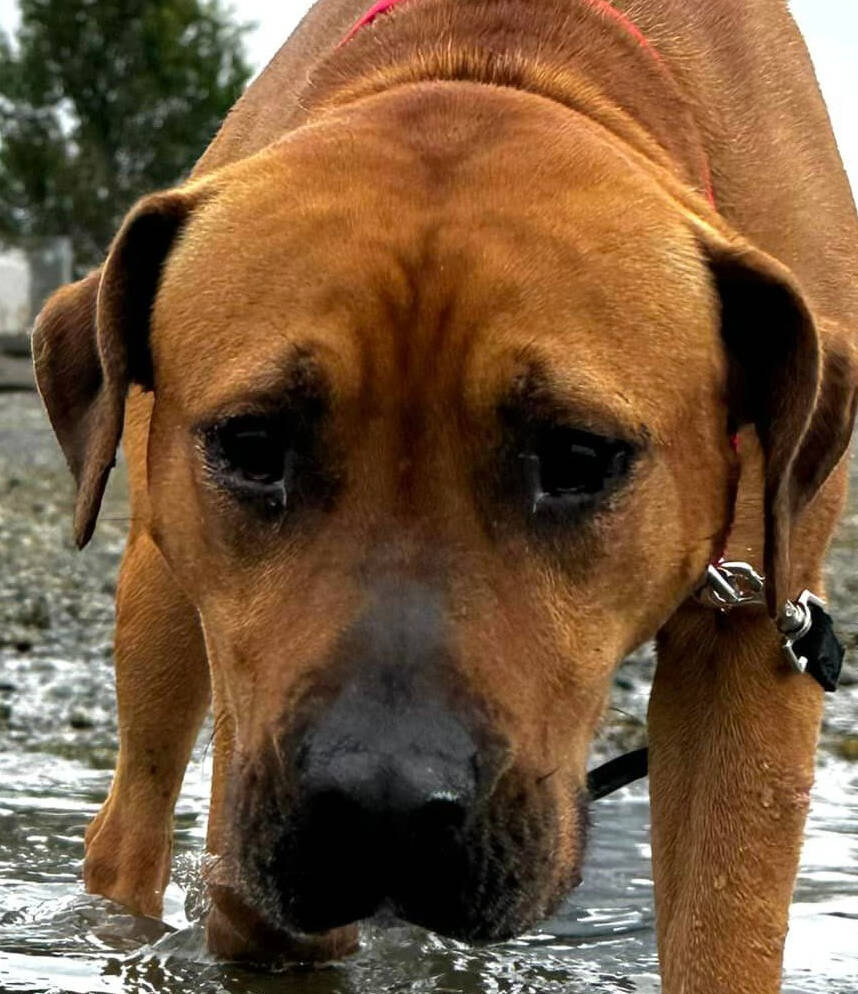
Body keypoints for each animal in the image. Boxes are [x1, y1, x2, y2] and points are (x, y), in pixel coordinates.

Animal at [30, 0, 852, 988]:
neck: (500, 58)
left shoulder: (757, 632)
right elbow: (265, 919)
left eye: (577, 456)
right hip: (161, 596)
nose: (380, 808)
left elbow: (721, 930)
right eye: (253, 443)